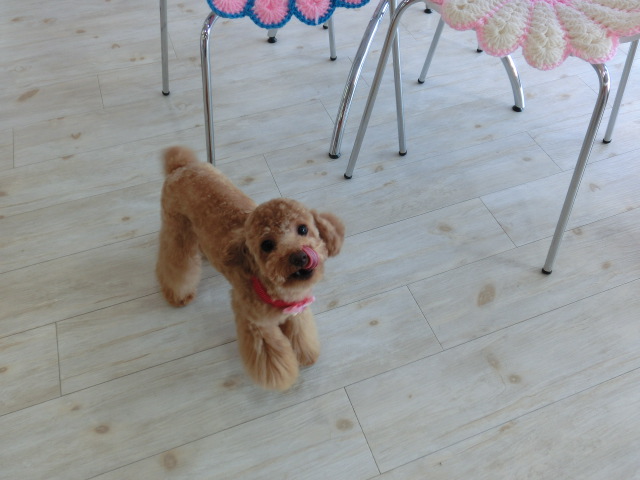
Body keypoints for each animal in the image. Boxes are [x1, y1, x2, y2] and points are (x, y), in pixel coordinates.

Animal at [156, 146, 345, 390]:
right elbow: (272, 357)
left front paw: (305, 353)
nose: (300, 256)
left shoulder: (297, 310)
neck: (277, 291)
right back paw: (178, 294)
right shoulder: (255, 323)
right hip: (177, 228)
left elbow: (301, 334)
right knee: (175, 262)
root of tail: (181, 166)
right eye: (267, 245)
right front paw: (281, 377)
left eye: (303, 229)